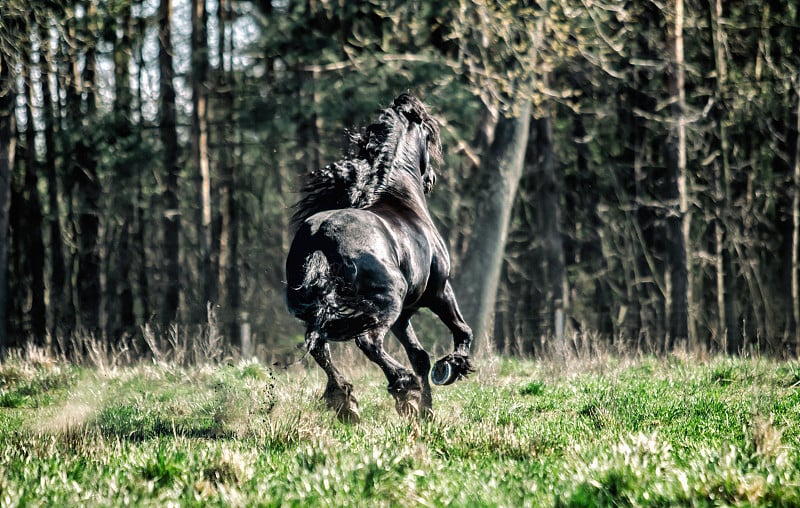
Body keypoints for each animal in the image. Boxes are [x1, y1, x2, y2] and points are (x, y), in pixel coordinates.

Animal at [286, 93, 472, 422]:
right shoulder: (439, 292)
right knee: (368, 342)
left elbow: (420, 356)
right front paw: (450, 368)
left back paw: (347, 401)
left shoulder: (405, 314)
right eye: (428, 134)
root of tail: (321, 236)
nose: (431, 179)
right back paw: (402, 387)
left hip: (329, 312)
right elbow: (462, 332)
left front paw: (426, 412)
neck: (400, 197)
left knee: (319, 347)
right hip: (387, 302)